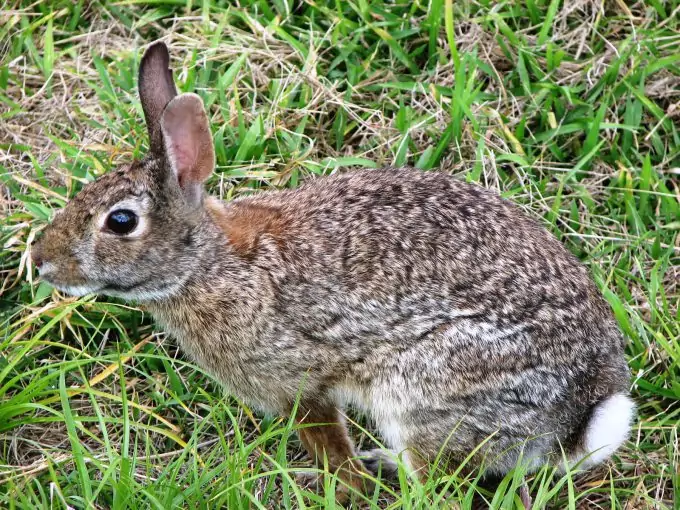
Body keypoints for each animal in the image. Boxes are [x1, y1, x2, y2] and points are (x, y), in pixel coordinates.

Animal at [31, 40, 636, 502]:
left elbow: (325, 440)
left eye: (121, 221)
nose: (40, 261)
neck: (211, 264)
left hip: (425, 391)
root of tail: (577, 416)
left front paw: (341, 486)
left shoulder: (299, 381)